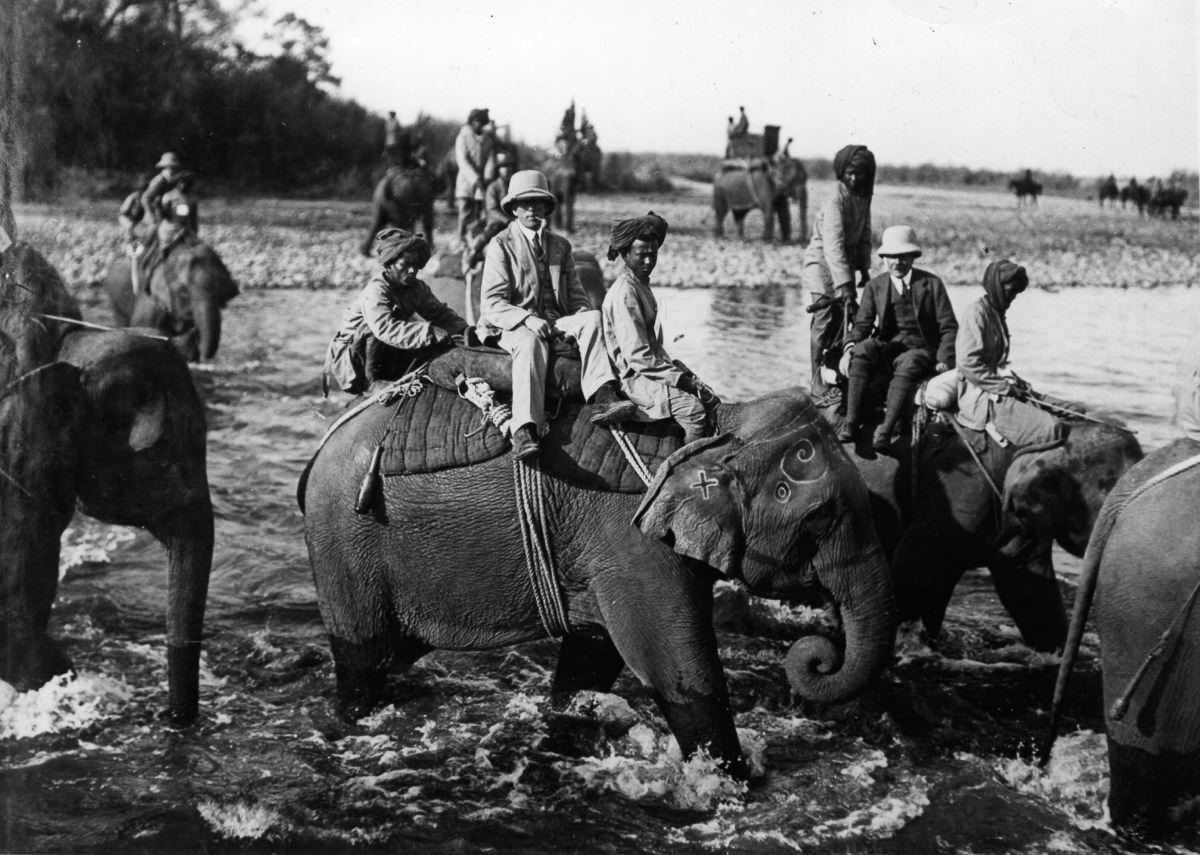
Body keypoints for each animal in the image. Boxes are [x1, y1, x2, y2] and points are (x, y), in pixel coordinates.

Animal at [300, 386, 897, 773]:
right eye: (821, 518)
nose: (818, 655)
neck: (720, 426)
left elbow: (593, 659)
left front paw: (565, 735)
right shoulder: (633, 543)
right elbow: (678, 669)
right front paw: (735, 784)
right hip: (346, 545)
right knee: (364, 661)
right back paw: (354, 723)